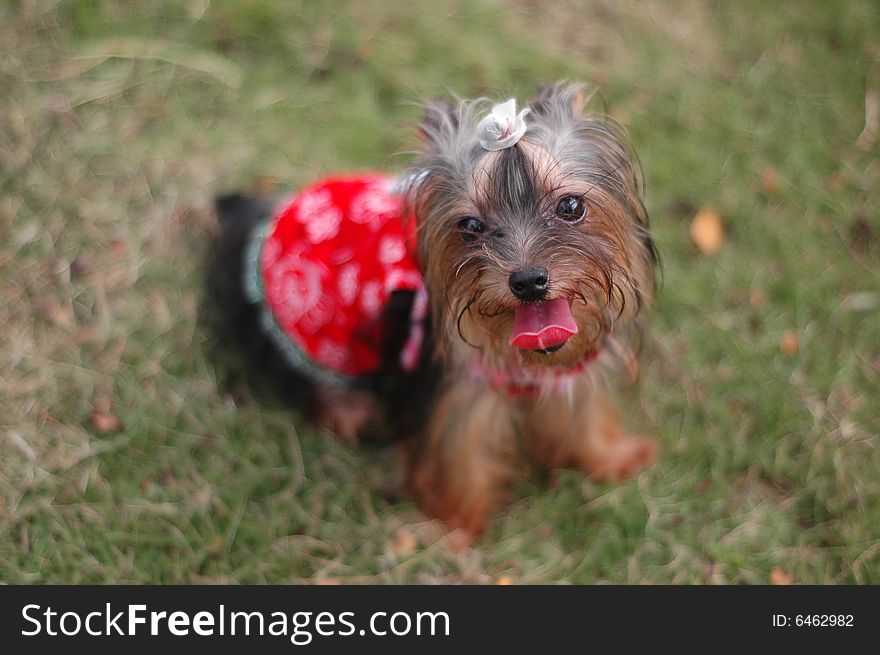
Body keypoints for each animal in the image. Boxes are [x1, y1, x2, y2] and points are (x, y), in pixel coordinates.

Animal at [208, 83, 660, 544]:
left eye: (570, 206)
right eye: (471, 226)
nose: (528, 280)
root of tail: (258, 216)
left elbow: (585, 416)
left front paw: (614, 458)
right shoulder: (446, 389)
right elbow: (457, 452)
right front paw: (456, 528)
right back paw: (349, 412)